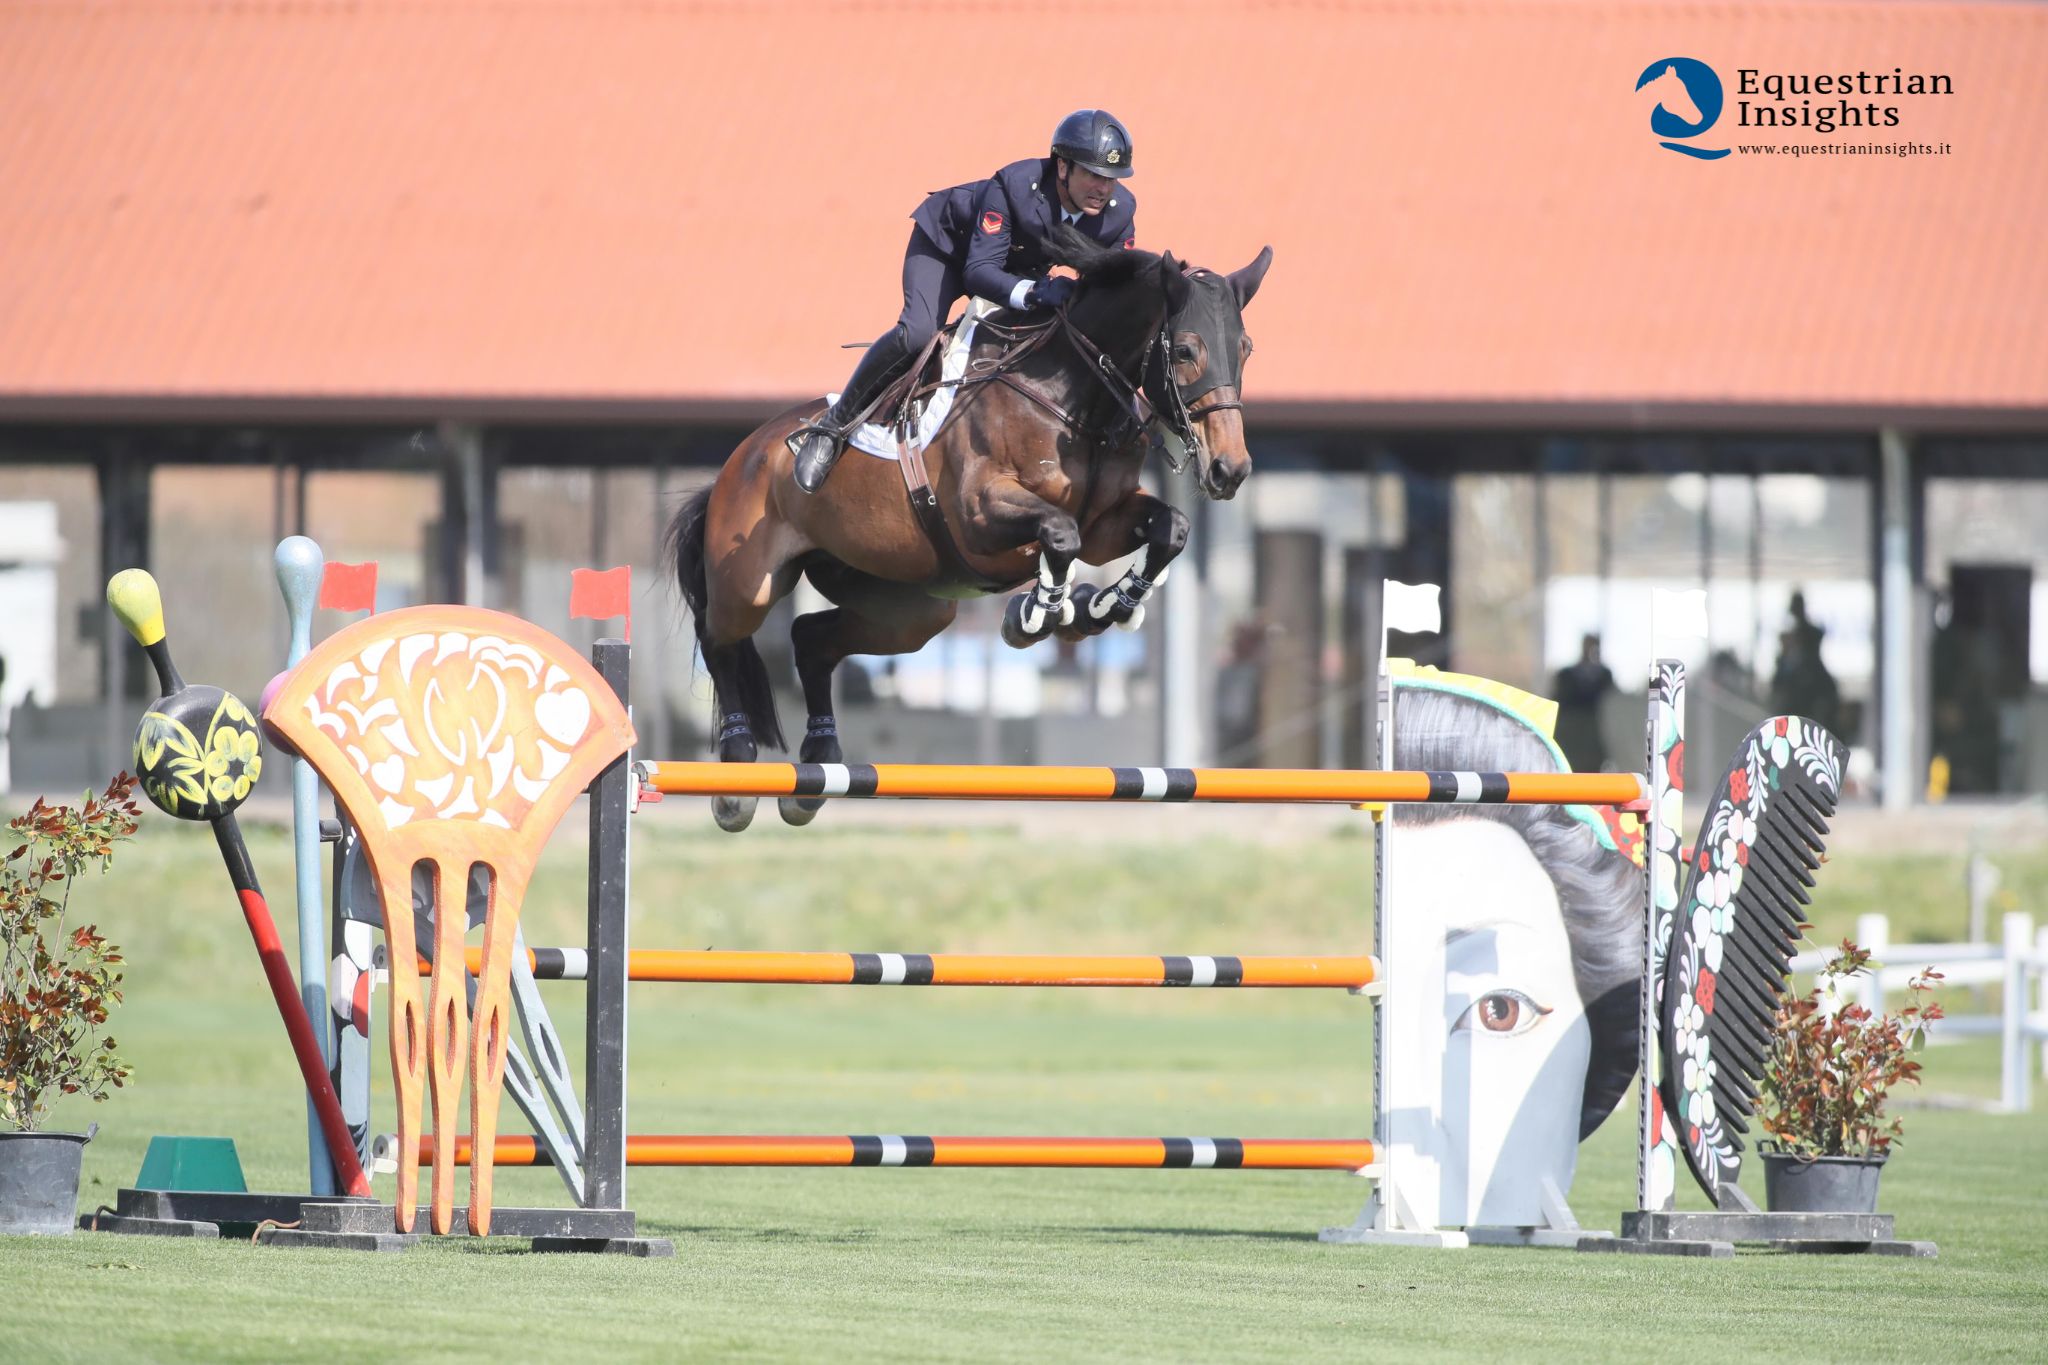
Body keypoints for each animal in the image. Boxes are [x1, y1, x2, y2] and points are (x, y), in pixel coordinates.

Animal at [665, 224, 1272, 831]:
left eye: (1245, 349)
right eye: (1187, 350)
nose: (1230, 469)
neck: (1073, 401)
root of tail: (741, 458)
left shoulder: (1107, 523)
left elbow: (1170, 528)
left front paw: (1104, 608)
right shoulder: (980, 515)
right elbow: (1060, 534)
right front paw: (1037, 615)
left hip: (908, 610)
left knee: (811, 640)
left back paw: (815, 771)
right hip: (750, 584)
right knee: (718, 639)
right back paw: (736, 777)